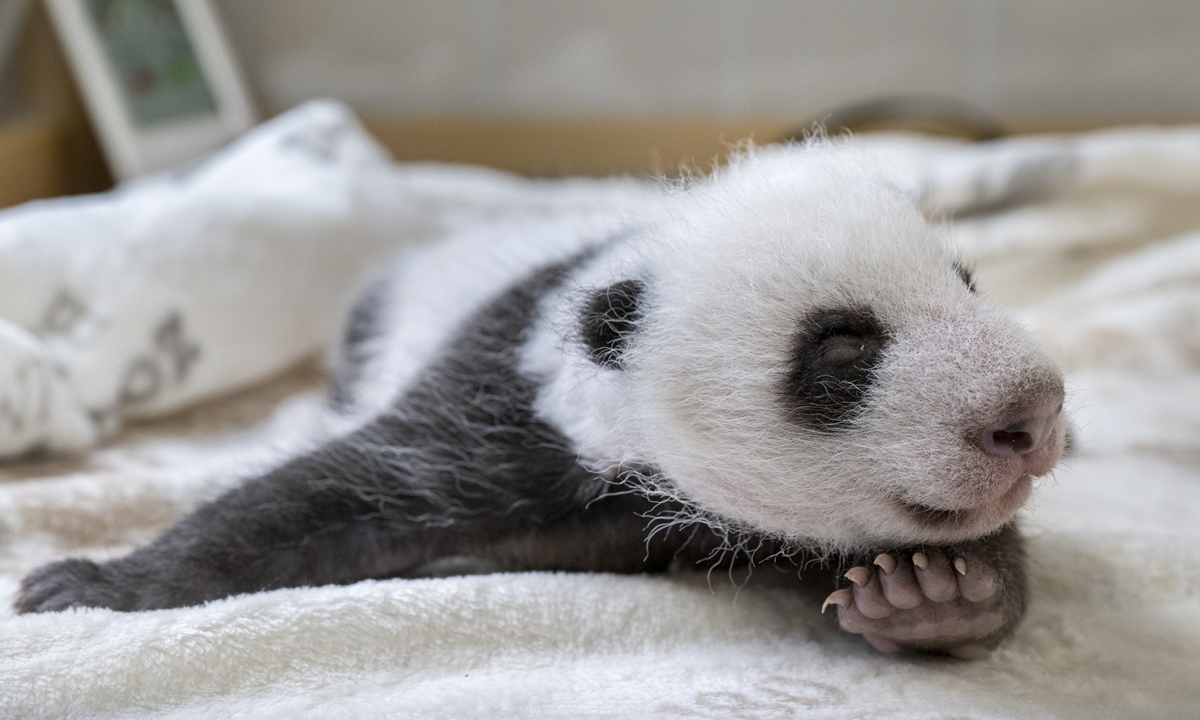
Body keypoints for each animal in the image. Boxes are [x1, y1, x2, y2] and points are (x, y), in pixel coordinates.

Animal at [14, 139, 1065, 657]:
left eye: (966, 283)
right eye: (843, 349)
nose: (1034, 413)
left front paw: (935, 595)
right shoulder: (504, 403)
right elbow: (319, 500)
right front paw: (96, 585)